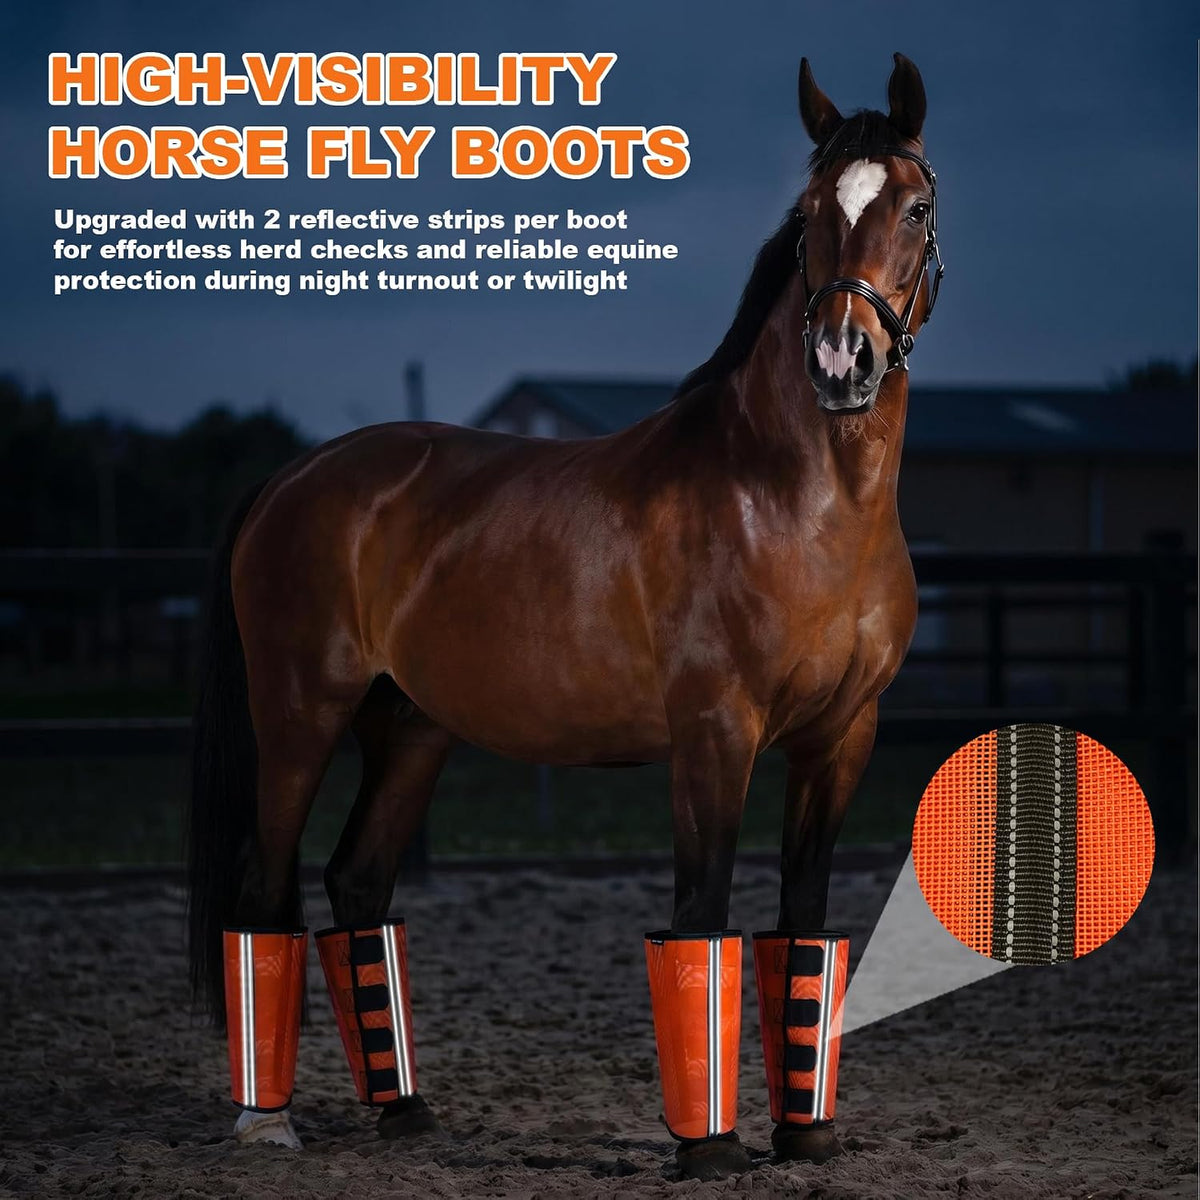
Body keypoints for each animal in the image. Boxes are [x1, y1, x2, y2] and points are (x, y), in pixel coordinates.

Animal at [187, 51, 943, 1181]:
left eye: (915, 206)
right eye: (811, 213)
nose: (841, 361)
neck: (795, 500)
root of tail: (299, 473)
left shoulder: (842, 738)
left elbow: (801, 929)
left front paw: (804, 1134)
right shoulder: (715, 734)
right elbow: (699, 918)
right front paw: (708, 1150)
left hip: (411, 730)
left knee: (358, 886)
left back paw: (405, 1112)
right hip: (298, 720)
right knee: (263, 890)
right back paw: (265, 1121)